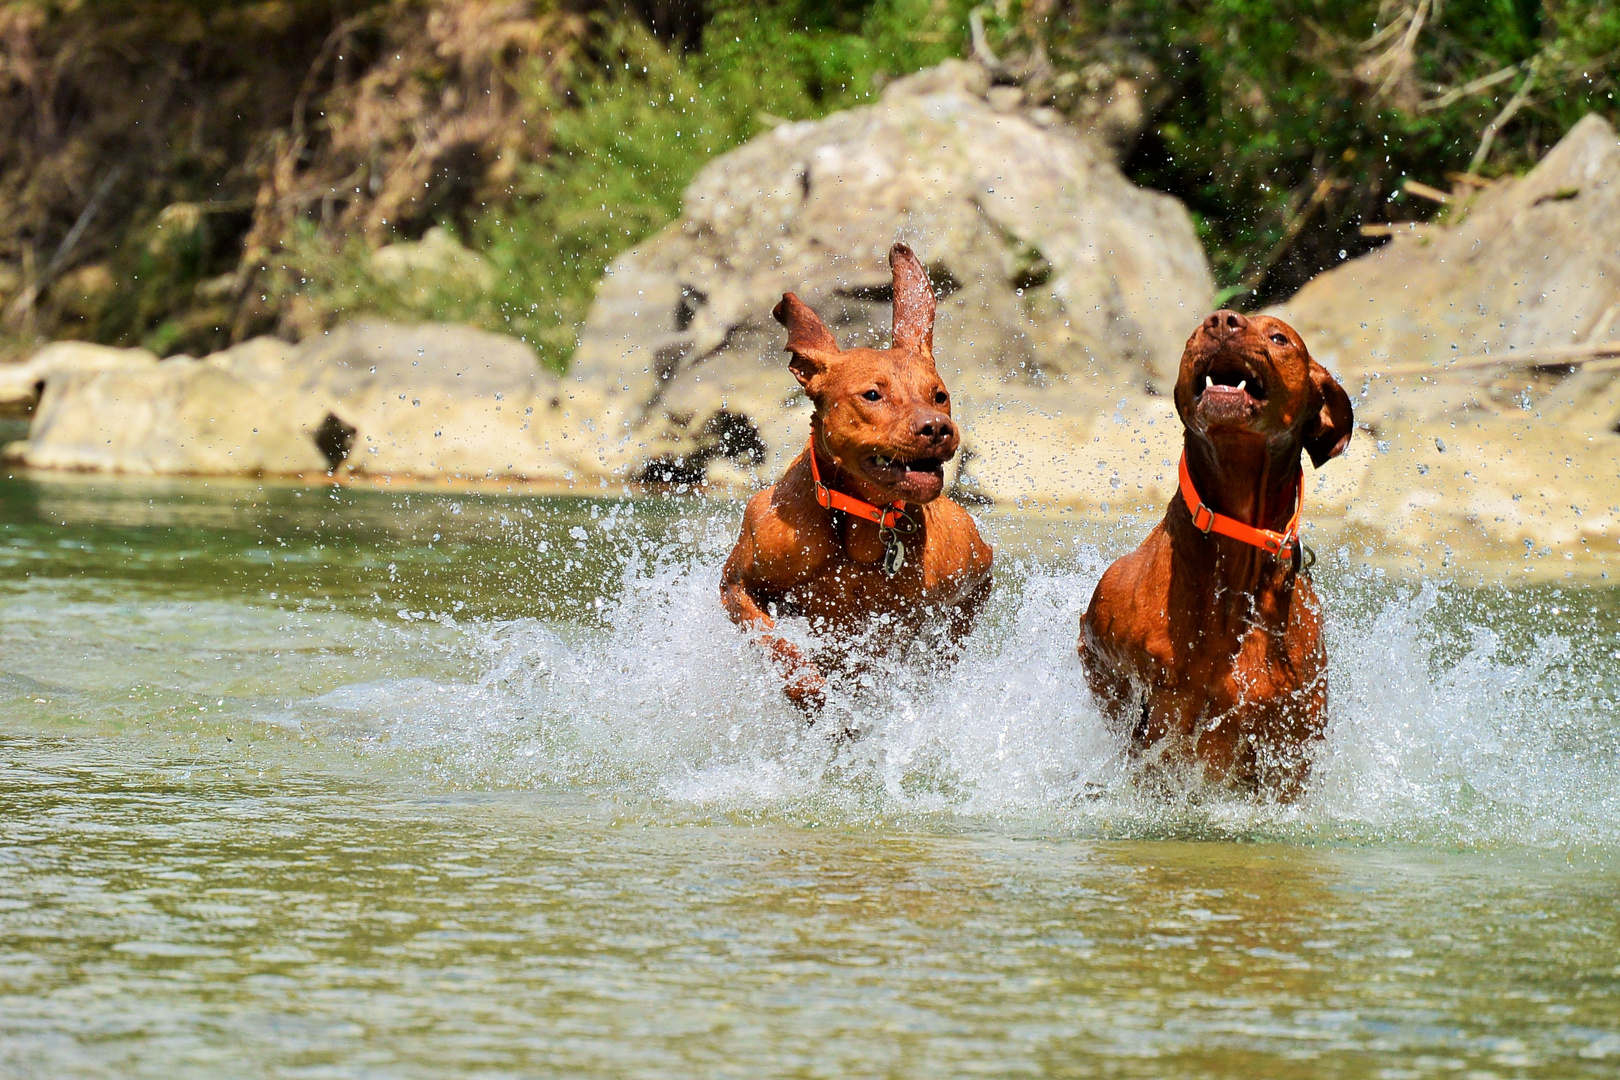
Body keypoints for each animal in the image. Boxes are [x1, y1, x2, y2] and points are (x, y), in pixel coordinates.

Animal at [719, 246, 991, 718]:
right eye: (872, 395)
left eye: (939, 395)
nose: (938, 428)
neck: (860, 524)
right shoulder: (736, 582)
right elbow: (771, 638)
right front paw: (805, 686)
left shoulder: (975, 576)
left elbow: (941, 645)